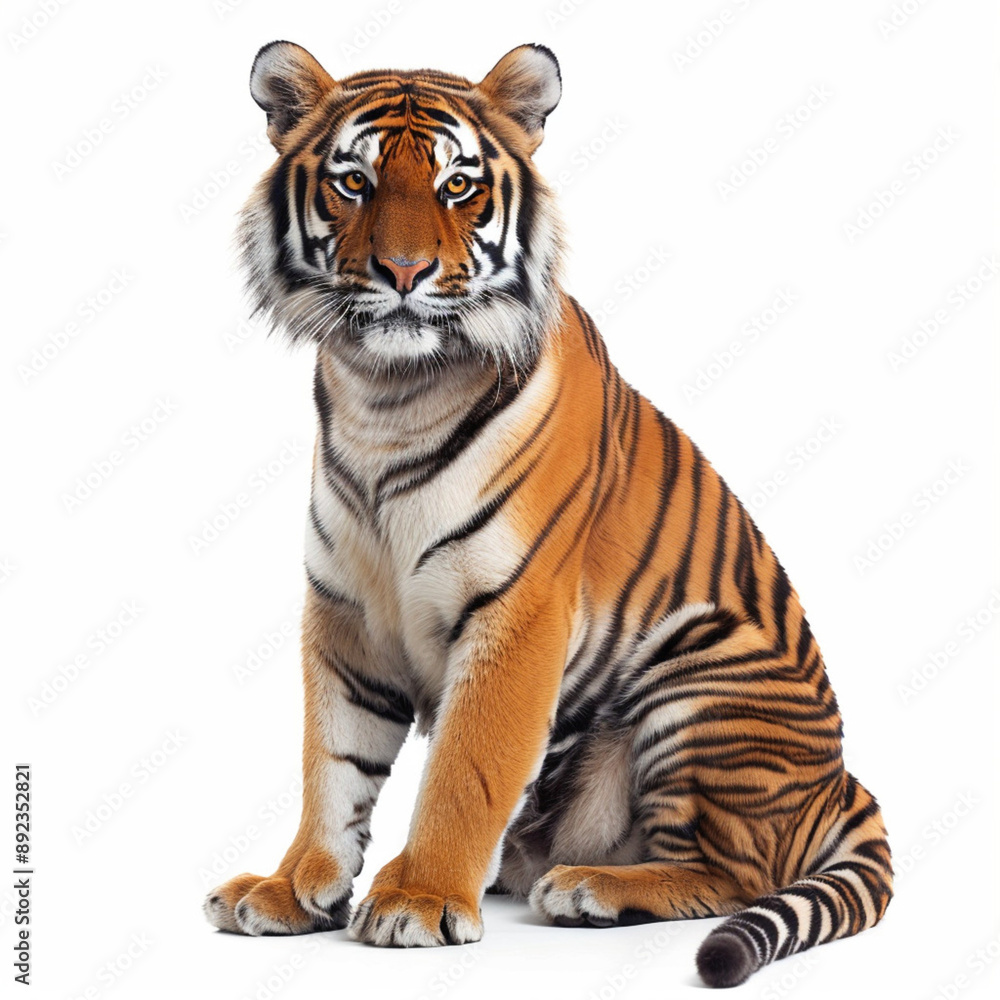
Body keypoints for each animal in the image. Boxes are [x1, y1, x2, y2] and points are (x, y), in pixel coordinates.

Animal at [203, 41, 893, 987]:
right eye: (354, 182)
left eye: (458, 185)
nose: (404, 274)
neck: (387, 395)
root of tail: (841, 782)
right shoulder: (343, 612)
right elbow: (332, 763)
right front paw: (291, 887)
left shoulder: (518, 609)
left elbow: (465, 767)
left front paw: (419, 899)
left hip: (700, 682)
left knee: (731, 873)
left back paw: (588, 888)